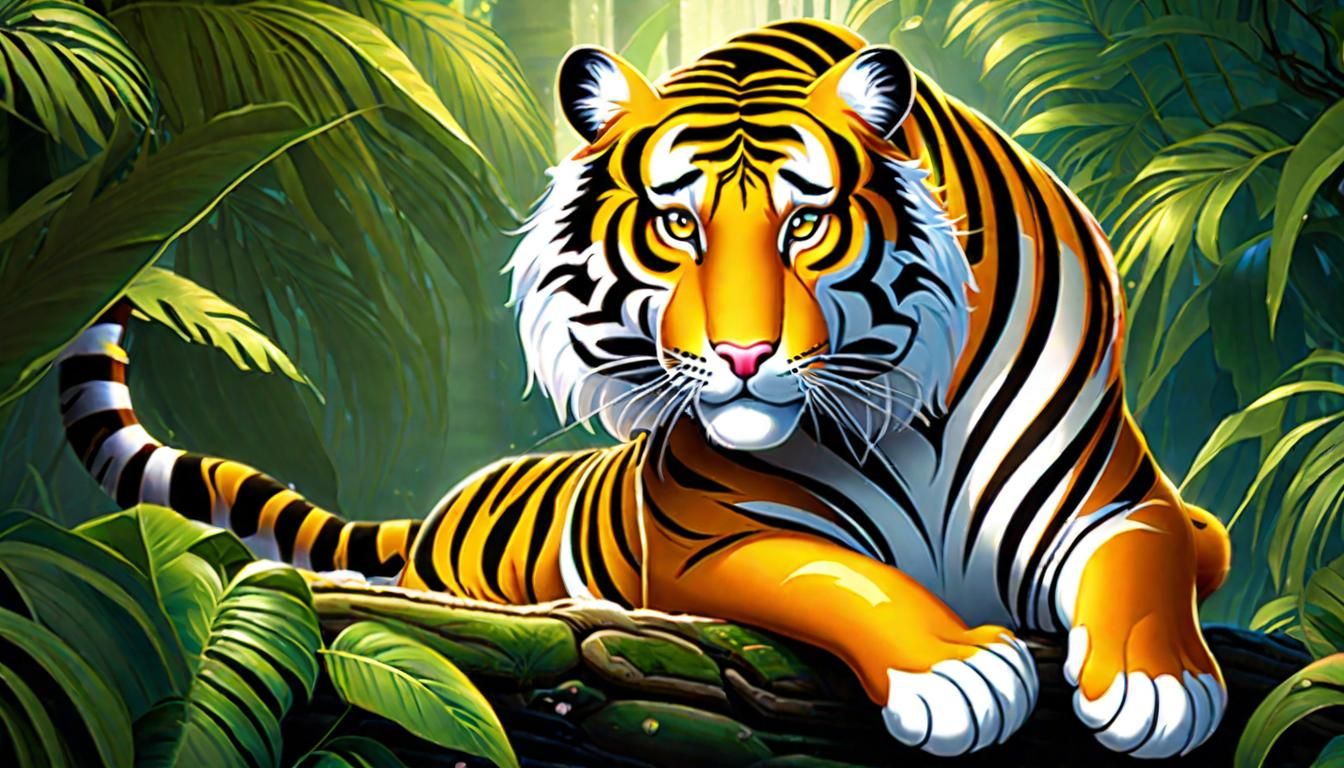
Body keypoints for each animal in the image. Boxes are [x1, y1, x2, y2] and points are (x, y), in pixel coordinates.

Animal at [56, 18, 1233, 759]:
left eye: (805, 224)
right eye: (678, 225)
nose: (746, 356)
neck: (915, 416)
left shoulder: (1121, 497)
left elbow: (1155, 559)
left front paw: (1159, 683)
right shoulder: (714, 541)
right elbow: (847, 578)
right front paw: (956, 673)